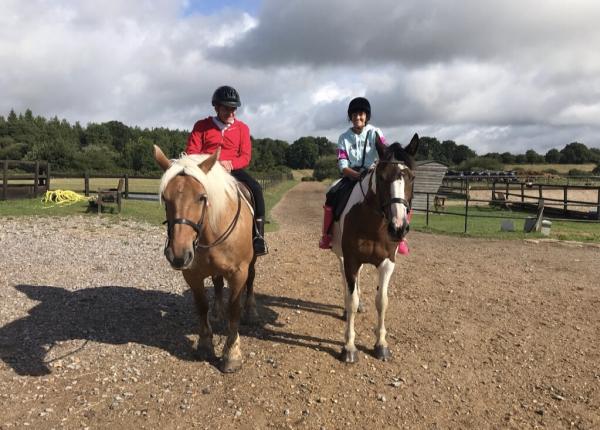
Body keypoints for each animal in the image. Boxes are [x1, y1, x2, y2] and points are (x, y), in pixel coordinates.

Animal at [154, 145, 256, 372]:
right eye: (165, 198)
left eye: (201, 196)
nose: (178, 254)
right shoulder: (192, 274)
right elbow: (202, 307)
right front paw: (205, 345)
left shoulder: (239, 272)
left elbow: (234, 309)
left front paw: (231, 355)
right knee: (217, 283)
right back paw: (218, 312)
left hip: (252, 263)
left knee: (251, 281)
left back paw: (250, 311)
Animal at [328, 134, 418, 362]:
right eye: (382, 177)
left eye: (411, 177)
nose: (398, 227)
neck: (371, 223)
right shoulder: (350, 260)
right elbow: (351, 299)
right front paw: (349, 347)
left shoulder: (387, 263)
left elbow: (382, 301)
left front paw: (381, 344)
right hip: (341, 258)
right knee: (346, 284)